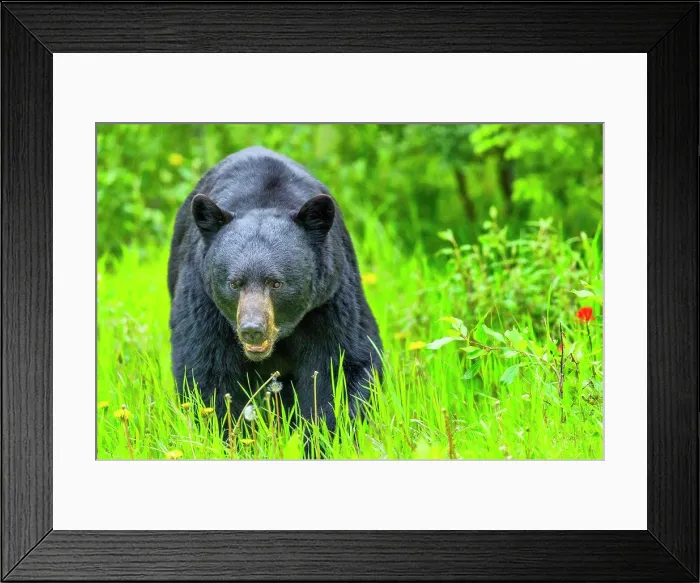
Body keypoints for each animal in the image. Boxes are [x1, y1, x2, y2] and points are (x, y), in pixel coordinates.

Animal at [167, 146, 383, 437]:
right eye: (234, 283)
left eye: (276, 283)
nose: (252, 329)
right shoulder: (203, 296)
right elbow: (207, 369)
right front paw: (231, 436)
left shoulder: (331, 297)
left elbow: (340, 364)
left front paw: (324, 435)